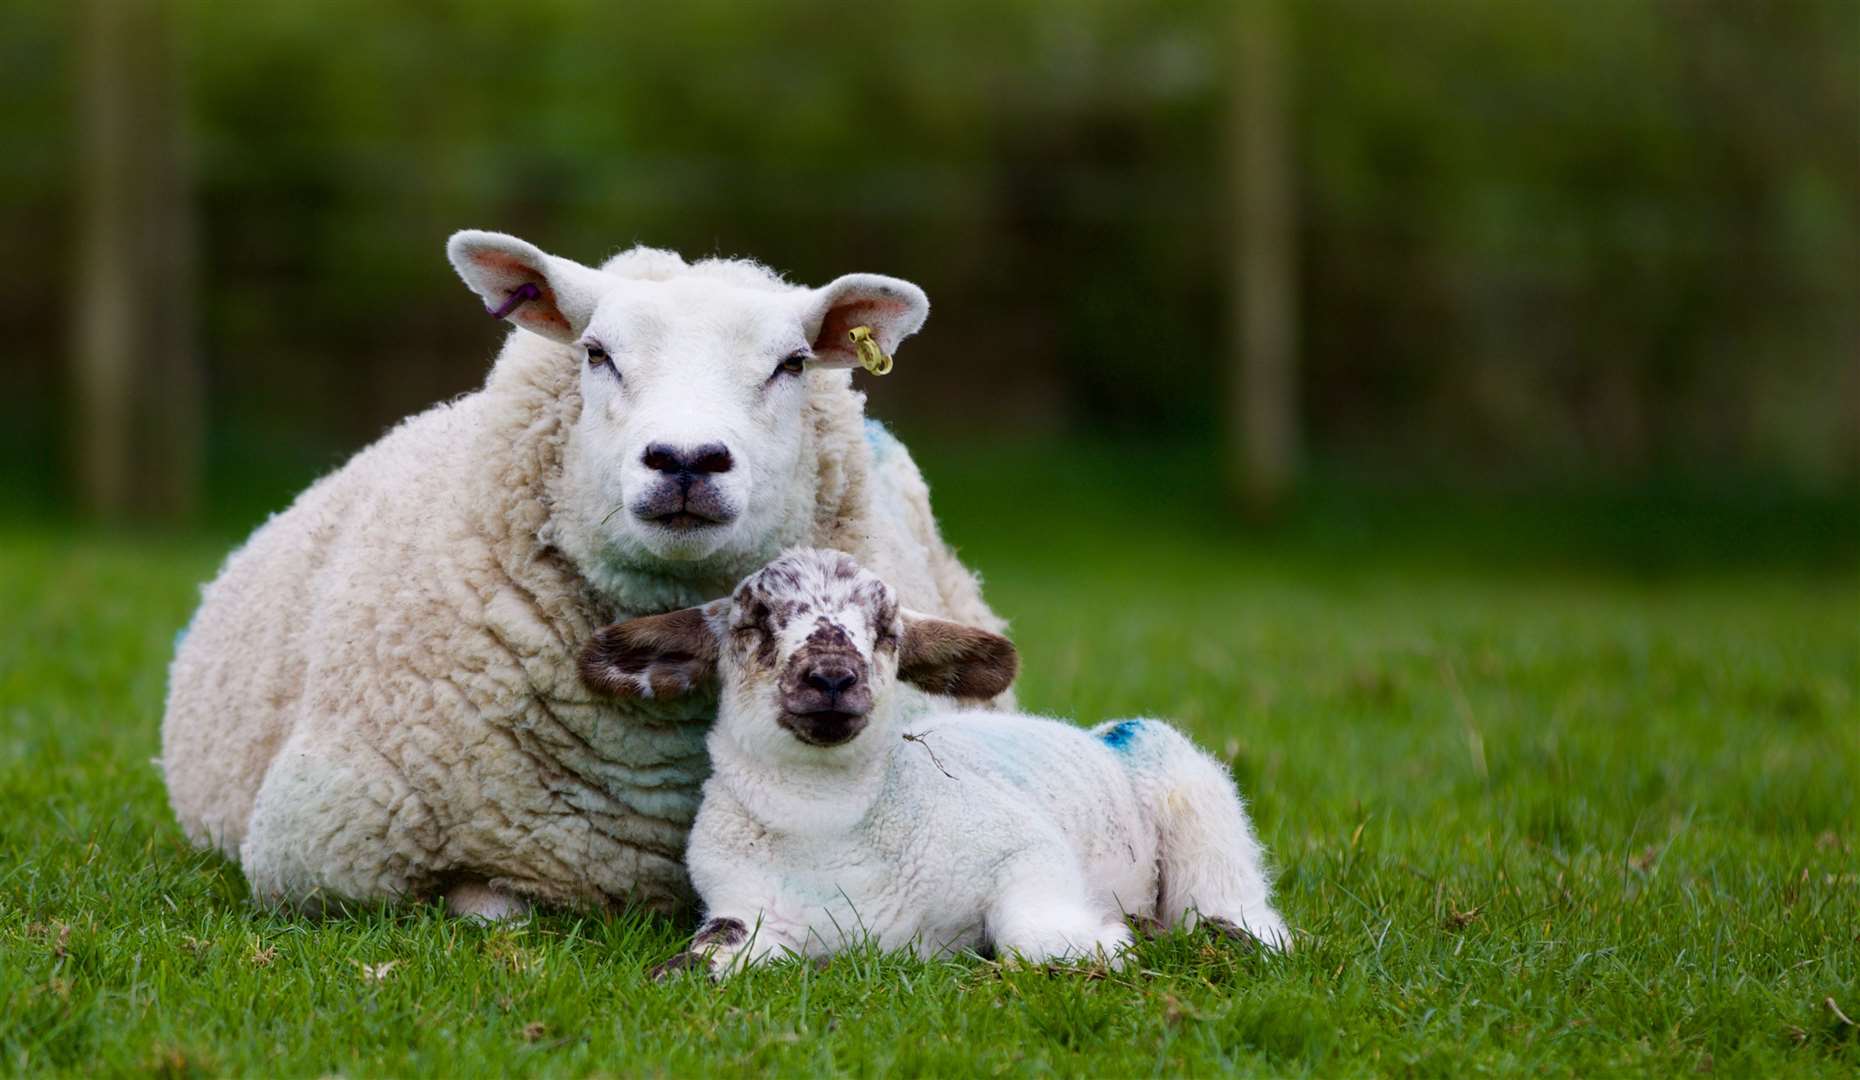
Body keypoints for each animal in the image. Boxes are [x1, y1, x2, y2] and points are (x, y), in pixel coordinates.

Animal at [584, 542, 1294, 974]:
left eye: (887, 632)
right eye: (752, 622)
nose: (832, 678)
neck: (827, 834)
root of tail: (1101, 733)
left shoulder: (1024, 850)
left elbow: (1029, 936)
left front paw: (1111, 942)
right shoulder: (741, 902)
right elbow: (697, 963)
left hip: (1190, 788)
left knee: (1235, 898)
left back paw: (1225, 934)